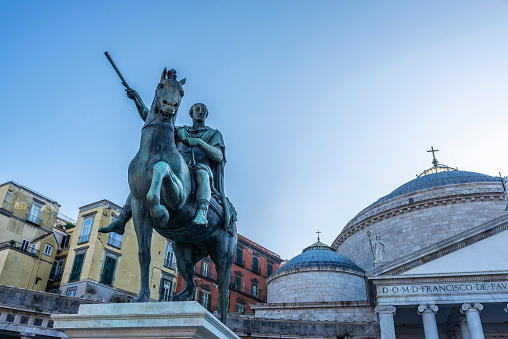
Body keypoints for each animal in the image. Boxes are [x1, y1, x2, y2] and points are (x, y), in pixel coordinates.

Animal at [114, 68, 237, 324]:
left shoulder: (178, 200)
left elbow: (162, 169)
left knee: (224, 291)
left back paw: (222, 323)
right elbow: (144, 254)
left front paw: (160, 212)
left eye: (181, 92)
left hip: (223, 256)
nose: (169, 107)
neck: (154, 150)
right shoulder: (139, 207)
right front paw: (142, 298)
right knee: (191, 284)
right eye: (160, 86)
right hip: (184, 252)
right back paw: (177, 301)